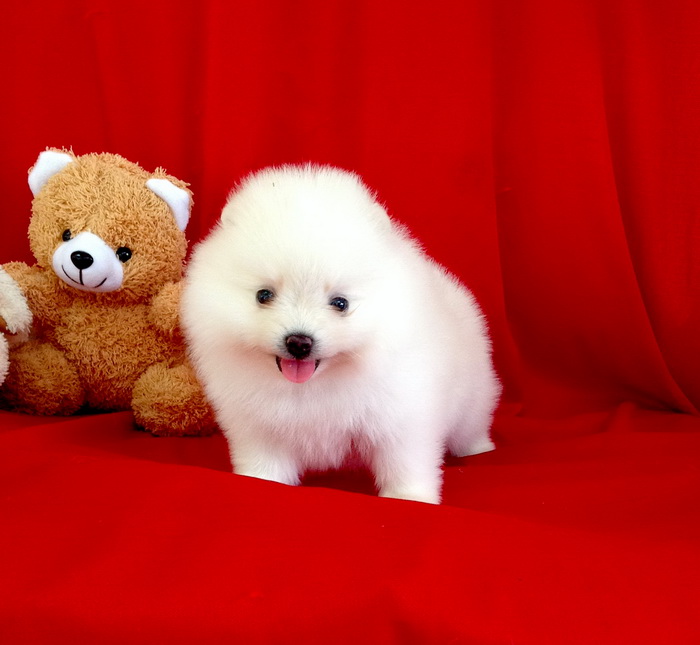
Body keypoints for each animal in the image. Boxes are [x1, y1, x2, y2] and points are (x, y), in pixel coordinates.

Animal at [181, 165, 500, 504]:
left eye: (340, 303)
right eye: (263, 295)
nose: (299, 342)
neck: (313, 387)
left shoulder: (401, 416)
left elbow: (405, 461)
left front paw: (409, 497)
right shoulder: (259, 424)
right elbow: (265, 460)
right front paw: (259, 481)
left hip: (473, 397)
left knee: (471, 423)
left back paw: (479, 447)